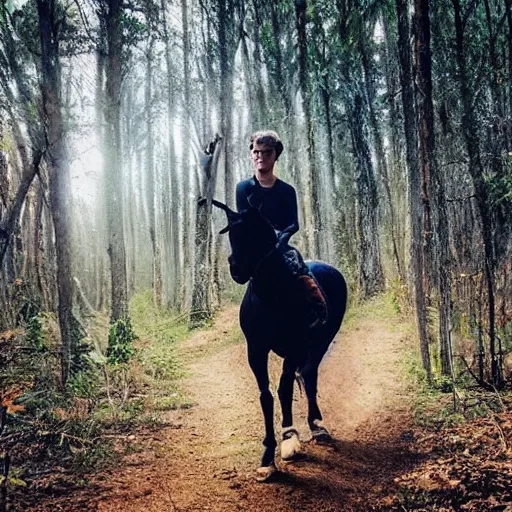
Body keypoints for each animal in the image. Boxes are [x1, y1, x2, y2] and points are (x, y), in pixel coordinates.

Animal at [204, 199, 348, 480]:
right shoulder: (255, 350)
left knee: (309, 374)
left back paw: (316, 424)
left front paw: (289, 437)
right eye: (232, 234)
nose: (236, 268)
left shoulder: (294, 347)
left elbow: (284, 389)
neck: (272, 296)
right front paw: (267, 457)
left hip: (322, 340)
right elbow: (266, 396)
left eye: (256, 232)